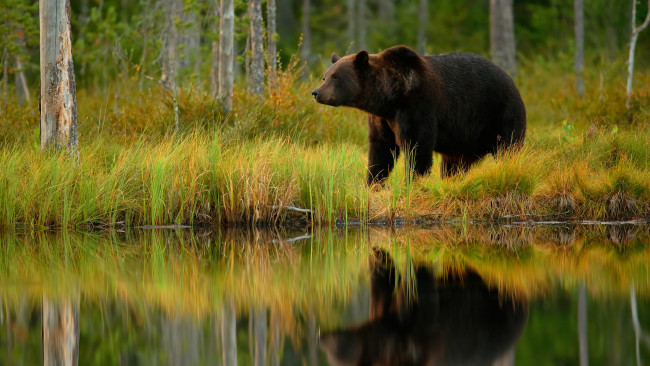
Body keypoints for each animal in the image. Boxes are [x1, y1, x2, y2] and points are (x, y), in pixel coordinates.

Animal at [310, 45, 528, 186]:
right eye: (325, 76)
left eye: (336, 76)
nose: (316, 92)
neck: (389, 98)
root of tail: (512, 81)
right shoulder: (382, 120)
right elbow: (381, 151)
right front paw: (373, 183)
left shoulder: (417, 108)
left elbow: (417, 147)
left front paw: (412, 183)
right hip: (463, 141)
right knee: (454, 164)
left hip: (500, 113)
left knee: (508, 147)